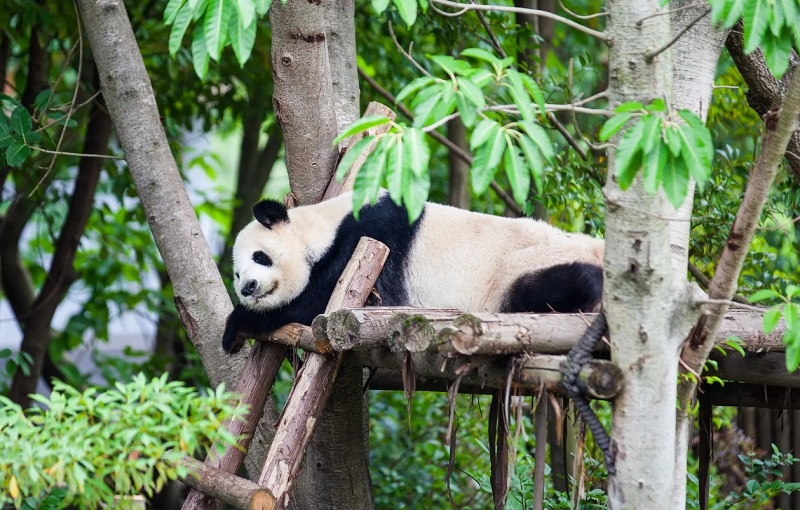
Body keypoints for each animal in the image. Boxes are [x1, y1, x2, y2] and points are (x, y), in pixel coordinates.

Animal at [222, 191, 604, 353]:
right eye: (237, 275)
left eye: (260, 257)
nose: (248, 288)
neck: (321, 224)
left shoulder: (372, 238)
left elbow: (317, 303)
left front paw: (236, 327)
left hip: (526, 264)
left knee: (565, 283)